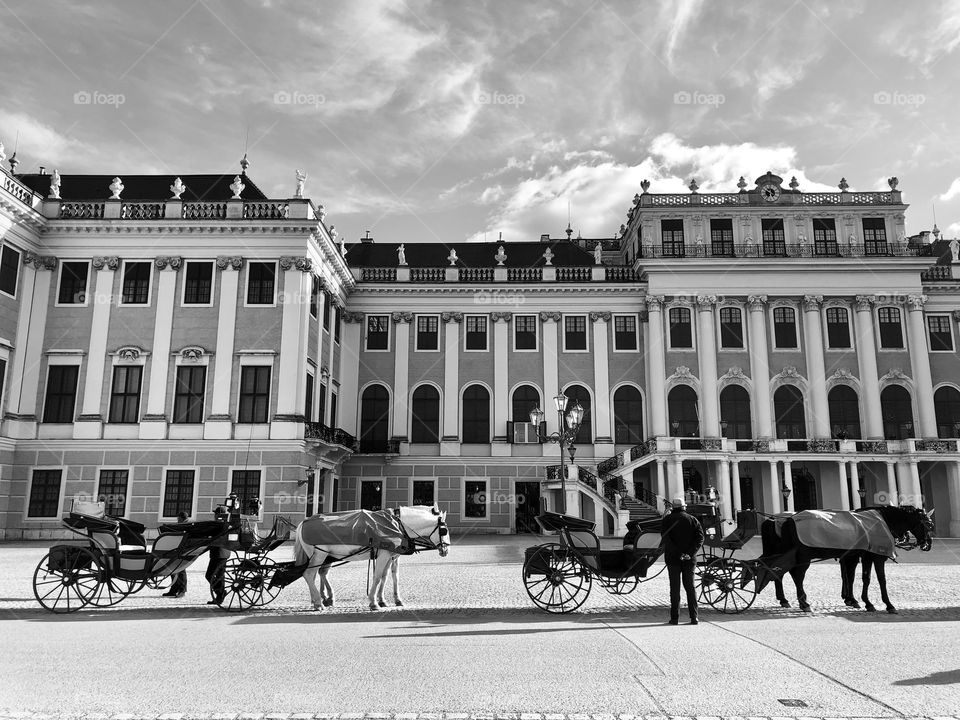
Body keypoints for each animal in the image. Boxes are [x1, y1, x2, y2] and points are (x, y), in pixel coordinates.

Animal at [292, 504, 450, 612]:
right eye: (444, 530)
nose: (446, 550)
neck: (398, 524)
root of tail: (303, 523)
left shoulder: (392, 555)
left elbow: (389, 576)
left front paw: (386, 600)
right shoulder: (384, 554)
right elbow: (378, 576)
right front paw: (374, 602)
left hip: (324, 556)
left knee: (317, 574)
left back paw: (319, 599)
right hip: (319, 554)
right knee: (309, 574)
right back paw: (319, 602)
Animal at [756, 506, 928, 612]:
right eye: (928, 524)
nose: (927, 544)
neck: (881, 520)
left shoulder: (855, 556)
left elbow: (855, 577)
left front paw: (856, 600)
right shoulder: (874, 556)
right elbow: (879, 579)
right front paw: (887, 604)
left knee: (776, 571)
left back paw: (786, 600)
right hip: (802, 555)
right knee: (796, 575)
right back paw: (803, 603)